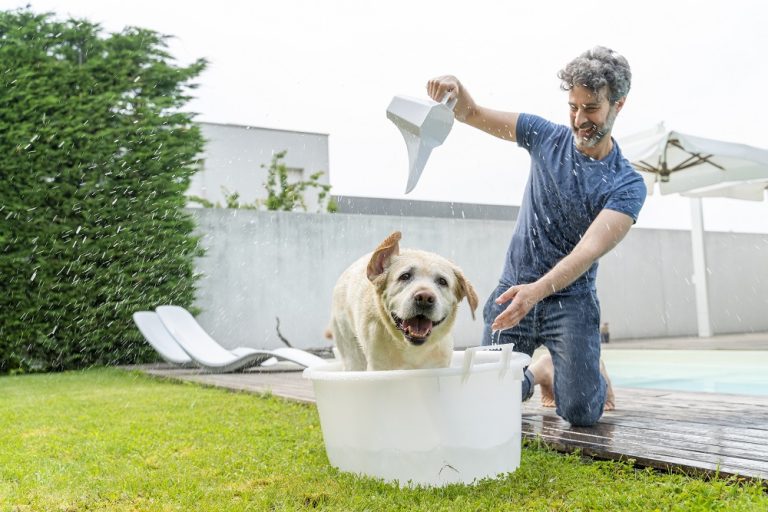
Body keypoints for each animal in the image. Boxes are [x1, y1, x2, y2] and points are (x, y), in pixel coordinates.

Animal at [328, 232, 476, 372]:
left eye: (442, 281)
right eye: (405, 276)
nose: (424, 298)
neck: (412, 349)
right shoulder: (378, 367)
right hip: (351, 351)